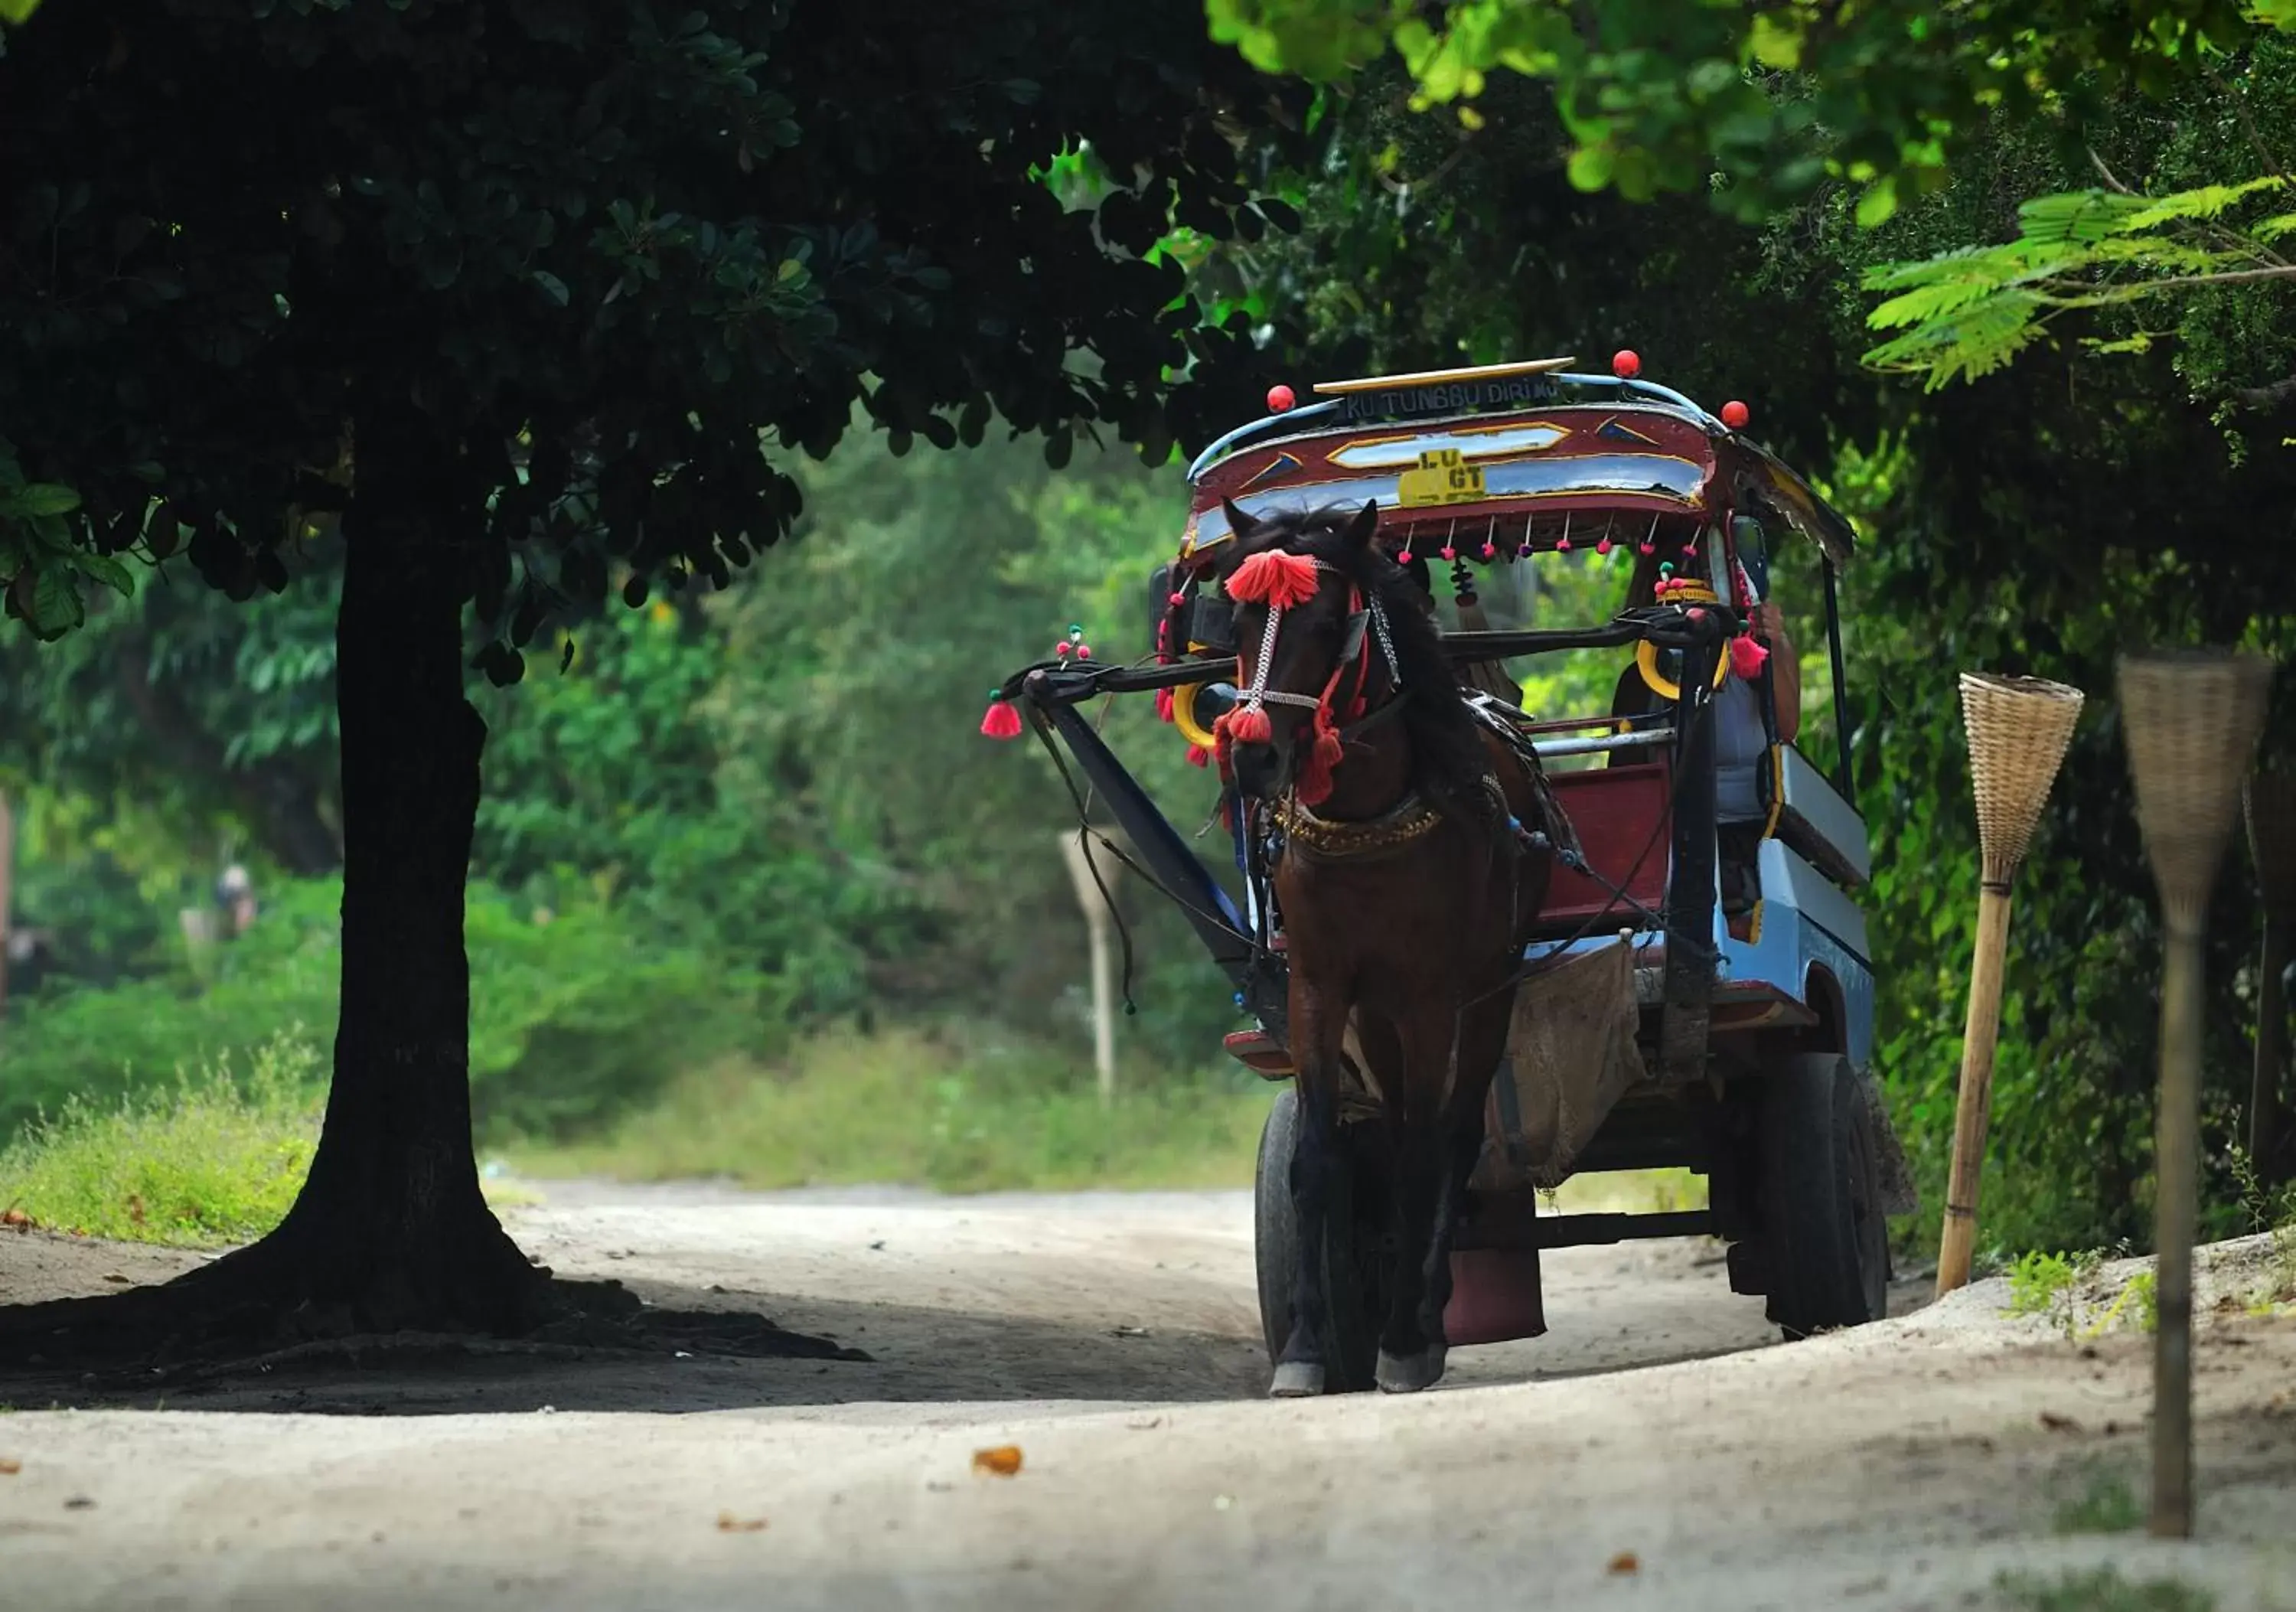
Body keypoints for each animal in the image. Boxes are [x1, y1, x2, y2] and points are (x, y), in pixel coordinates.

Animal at [1203, 498, 1561, 1396]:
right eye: (1238, 616)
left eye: (1328, 622)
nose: (1254, 754)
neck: (1367, 821)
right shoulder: (1319, 989)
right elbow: (1317, 1161)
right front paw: (1304, 1349)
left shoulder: (1436, 995)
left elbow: (1424, 1159)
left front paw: (1402, 1340)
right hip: (1379, 1015)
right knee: (1398, 1129)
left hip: (1489, 985)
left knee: (1452, 1136)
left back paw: (1424, 1315)